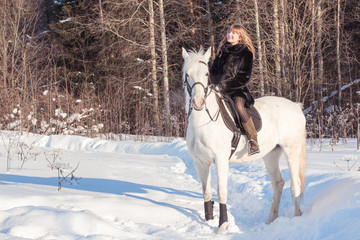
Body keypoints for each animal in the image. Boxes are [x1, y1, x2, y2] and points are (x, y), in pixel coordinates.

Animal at [183, 47, 306, 232]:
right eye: (187, 74)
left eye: (206, 74)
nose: (198, 102)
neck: (202, 123)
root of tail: (296, 107)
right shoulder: (200, 162)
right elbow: (206, 192)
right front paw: (209, 221)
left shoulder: (220, 160)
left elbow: (222, 192)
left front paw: (222, 226)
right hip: (271, 155)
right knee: (278, 183)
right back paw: (270, 221)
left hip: (292, 150)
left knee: (295, 185)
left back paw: (296, 218)